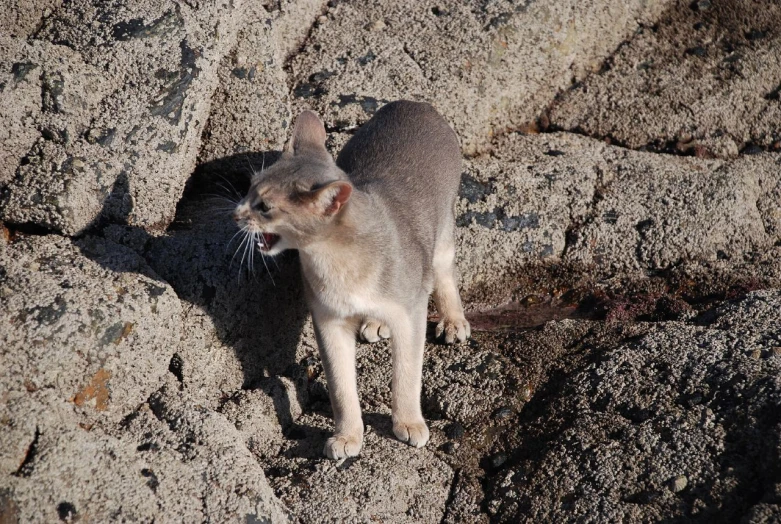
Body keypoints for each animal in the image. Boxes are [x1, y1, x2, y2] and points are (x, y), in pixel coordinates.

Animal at [232, 99, 470, 458]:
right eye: (250, 187)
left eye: (265, 206)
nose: (237, 213)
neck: (338, 264)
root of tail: (413, 103)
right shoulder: (328, 321)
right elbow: (341, 387)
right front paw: (347, 436)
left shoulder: (410, 313)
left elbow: (406, 375)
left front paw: (409, 423)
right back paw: (375, 322)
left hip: (442, 234)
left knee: (444, 272)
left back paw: (453, 321)